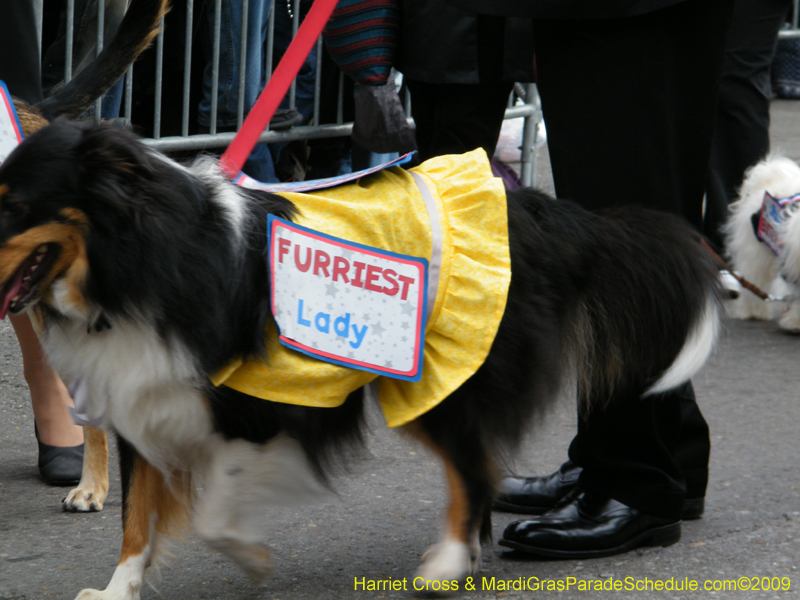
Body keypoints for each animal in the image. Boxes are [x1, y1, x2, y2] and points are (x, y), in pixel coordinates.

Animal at [0, 119, 720, 596]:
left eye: (13, 204)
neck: (138, 260)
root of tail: (541, 211)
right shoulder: (143, 400)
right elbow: (138, 521)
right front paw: (119, 589)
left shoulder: (254, 409)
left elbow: (209, 513)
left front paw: (251, 558)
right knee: (477, 466)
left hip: (440, 382)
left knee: (472, 469)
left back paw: (449, 562)